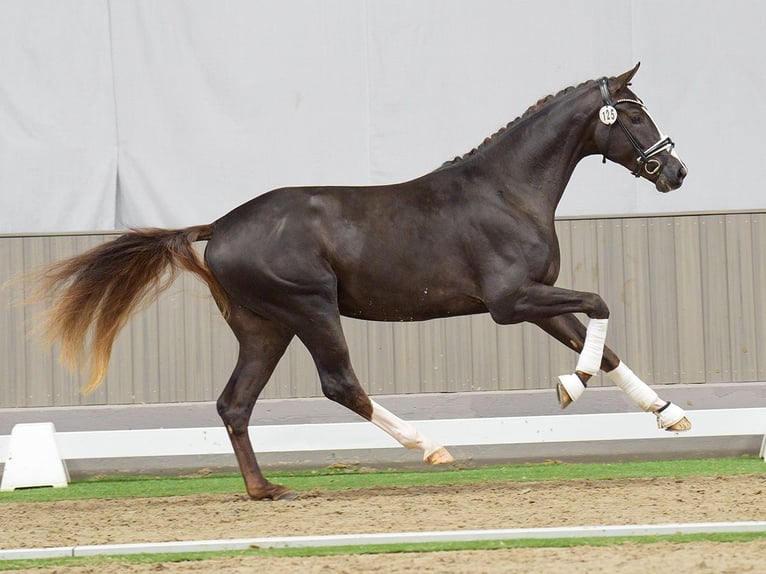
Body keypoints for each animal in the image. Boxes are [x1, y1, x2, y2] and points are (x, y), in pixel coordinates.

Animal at [33, 65, 688, 502]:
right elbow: (599, 308)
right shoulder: (509, 301)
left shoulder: (537, 298)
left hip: (265, 329)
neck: (507, 191)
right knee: (340, 384)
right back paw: (430, 446)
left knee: (234, 403)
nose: (675, 172)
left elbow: (604, 345)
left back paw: (265, 489)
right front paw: (569, 385)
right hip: (310, 309)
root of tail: (219, 226)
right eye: (633, 114)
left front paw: (669, 413)